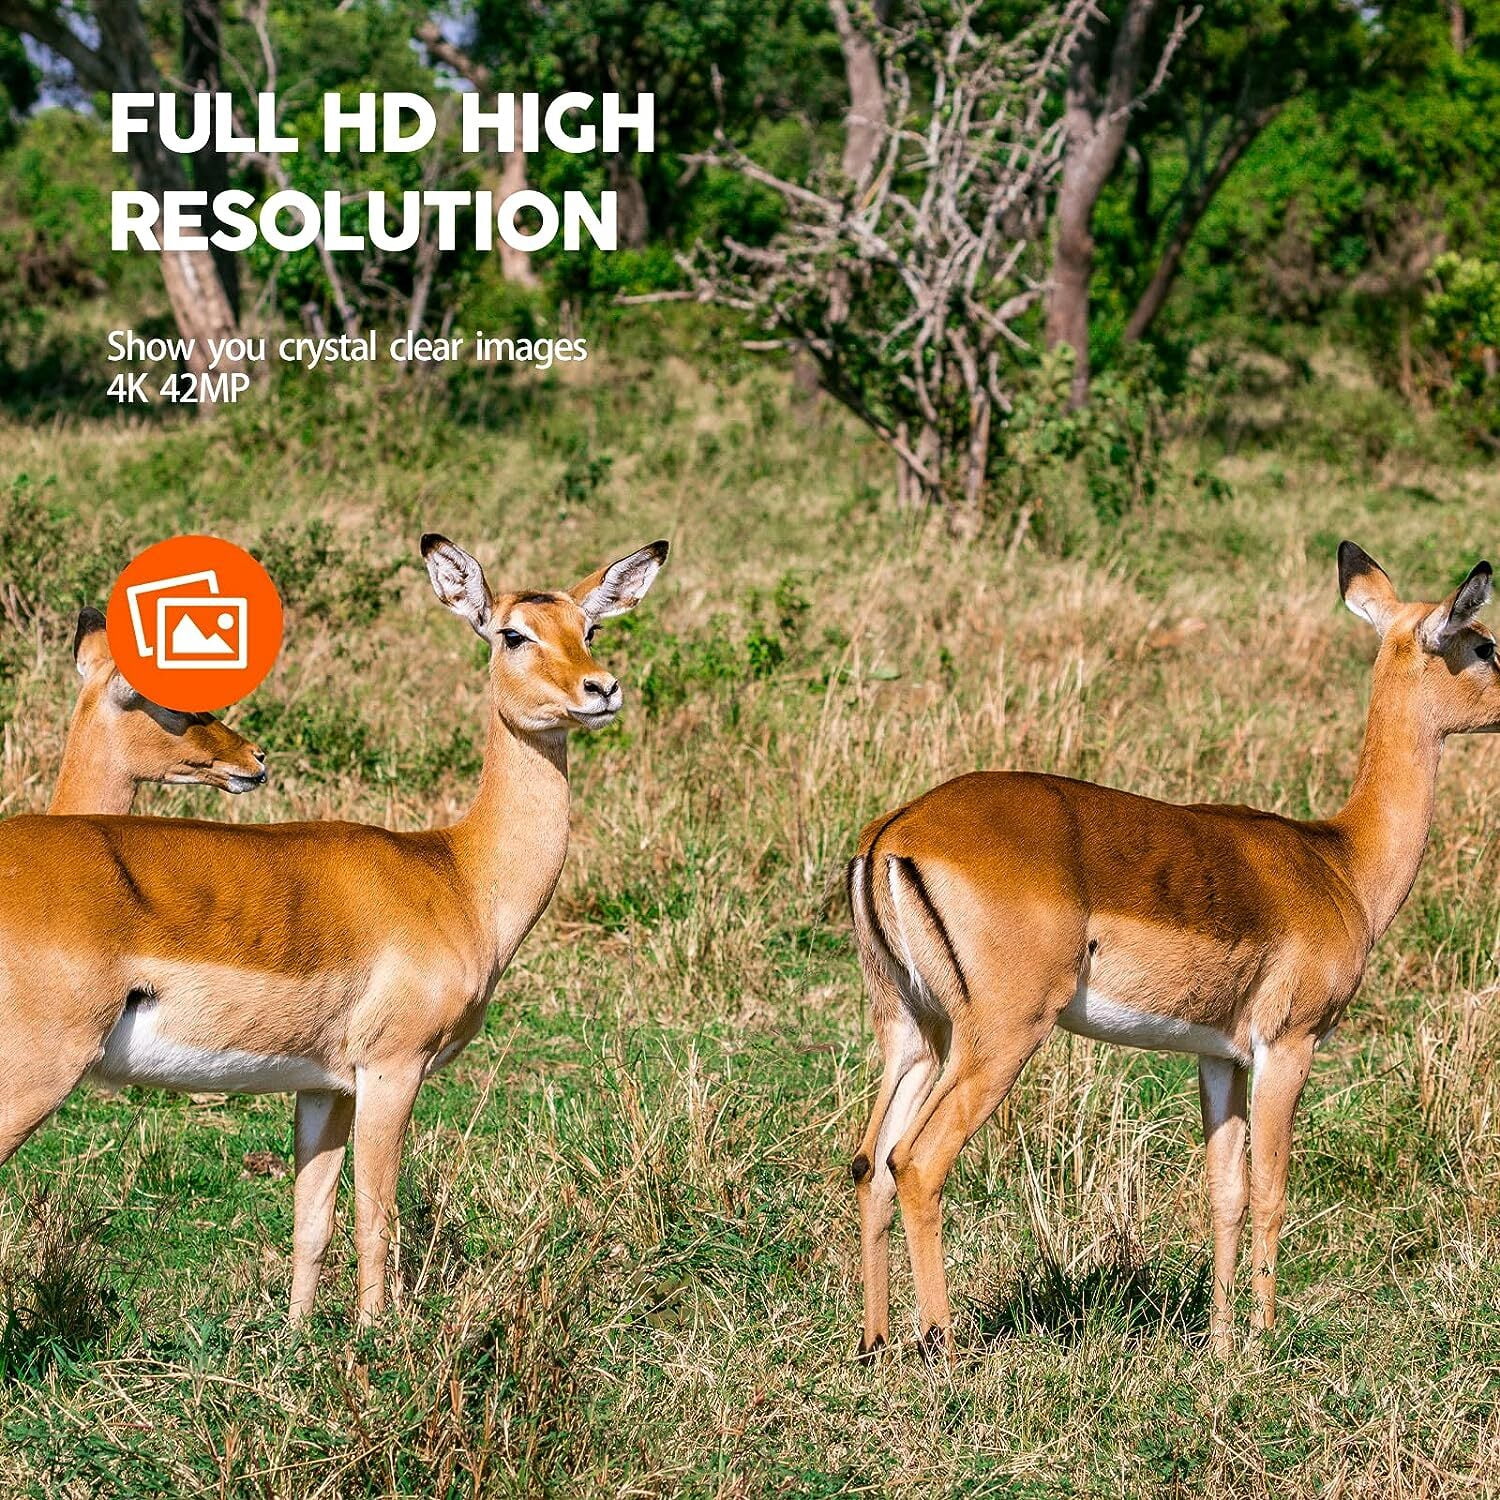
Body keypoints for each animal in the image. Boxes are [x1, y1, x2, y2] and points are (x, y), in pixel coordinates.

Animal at [847, 543, 1500, 1360]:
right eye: (1485, 646)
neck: (1340, 860)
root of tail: (895, 832)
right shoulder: (1288, 1047)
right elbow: (1271, 1189)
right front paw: (1264, 1341)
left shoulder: (1219, 1057)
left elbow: (1225, 1192)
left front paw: (1220, 1344)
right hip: (1000, 1036)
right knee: (917, 1161)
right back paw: (942, 1348)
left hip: (914, 1032)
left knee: (870, 1162)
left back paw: (875, 1346)